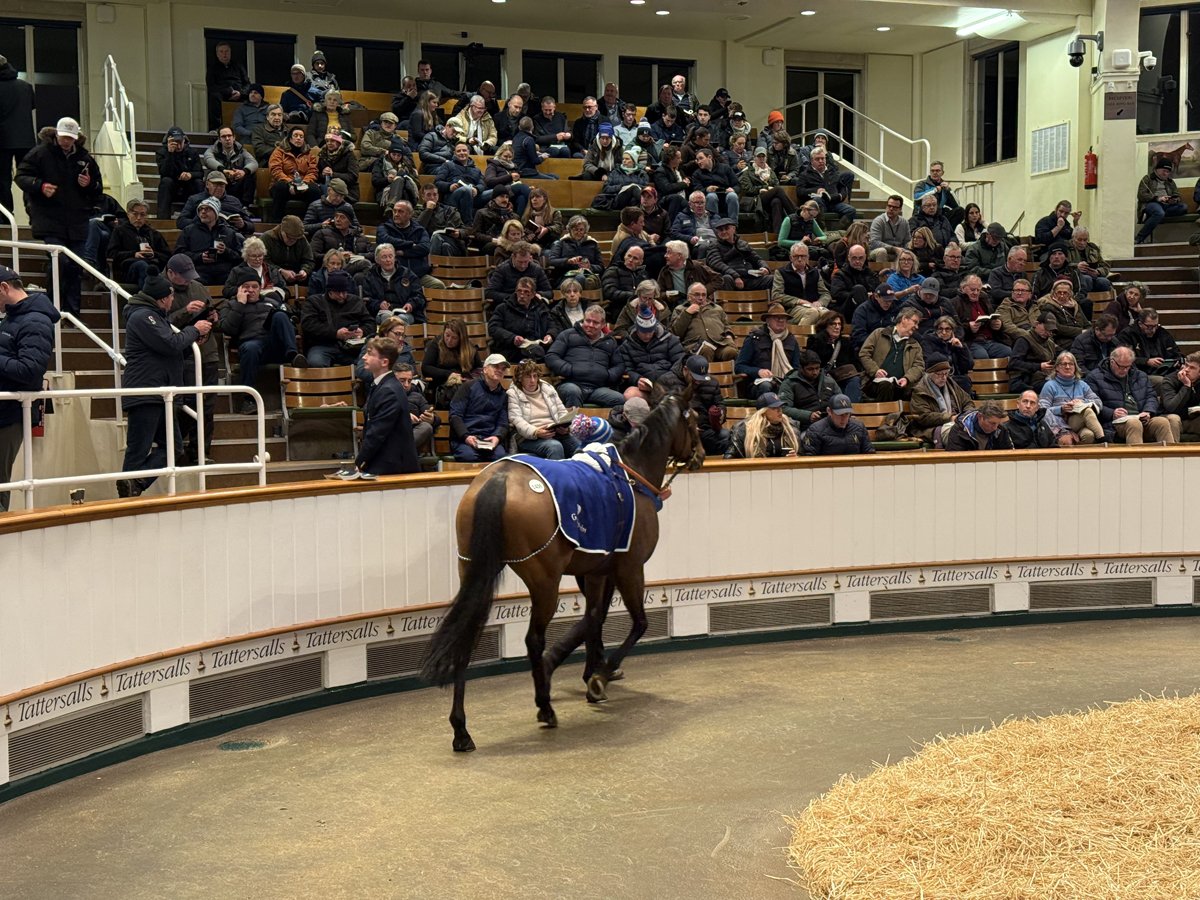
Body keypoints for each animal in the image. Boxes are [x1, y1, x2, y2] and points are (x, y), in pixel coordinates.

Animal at [420, 391, 704, 752]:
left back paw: (461, 728)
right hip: (544, 582)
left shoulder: (595, 570)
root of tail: (499, 478)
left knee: (466, 635)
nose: (700, 455)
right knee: (532, 639)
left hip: (475, 572)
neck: (630, 474)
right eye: (695, 422)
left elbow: (594, 618)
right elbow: (637, 623)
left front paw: (586, 670)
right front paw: (597, 677)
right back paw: (544, 706)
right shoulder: (628, 568)